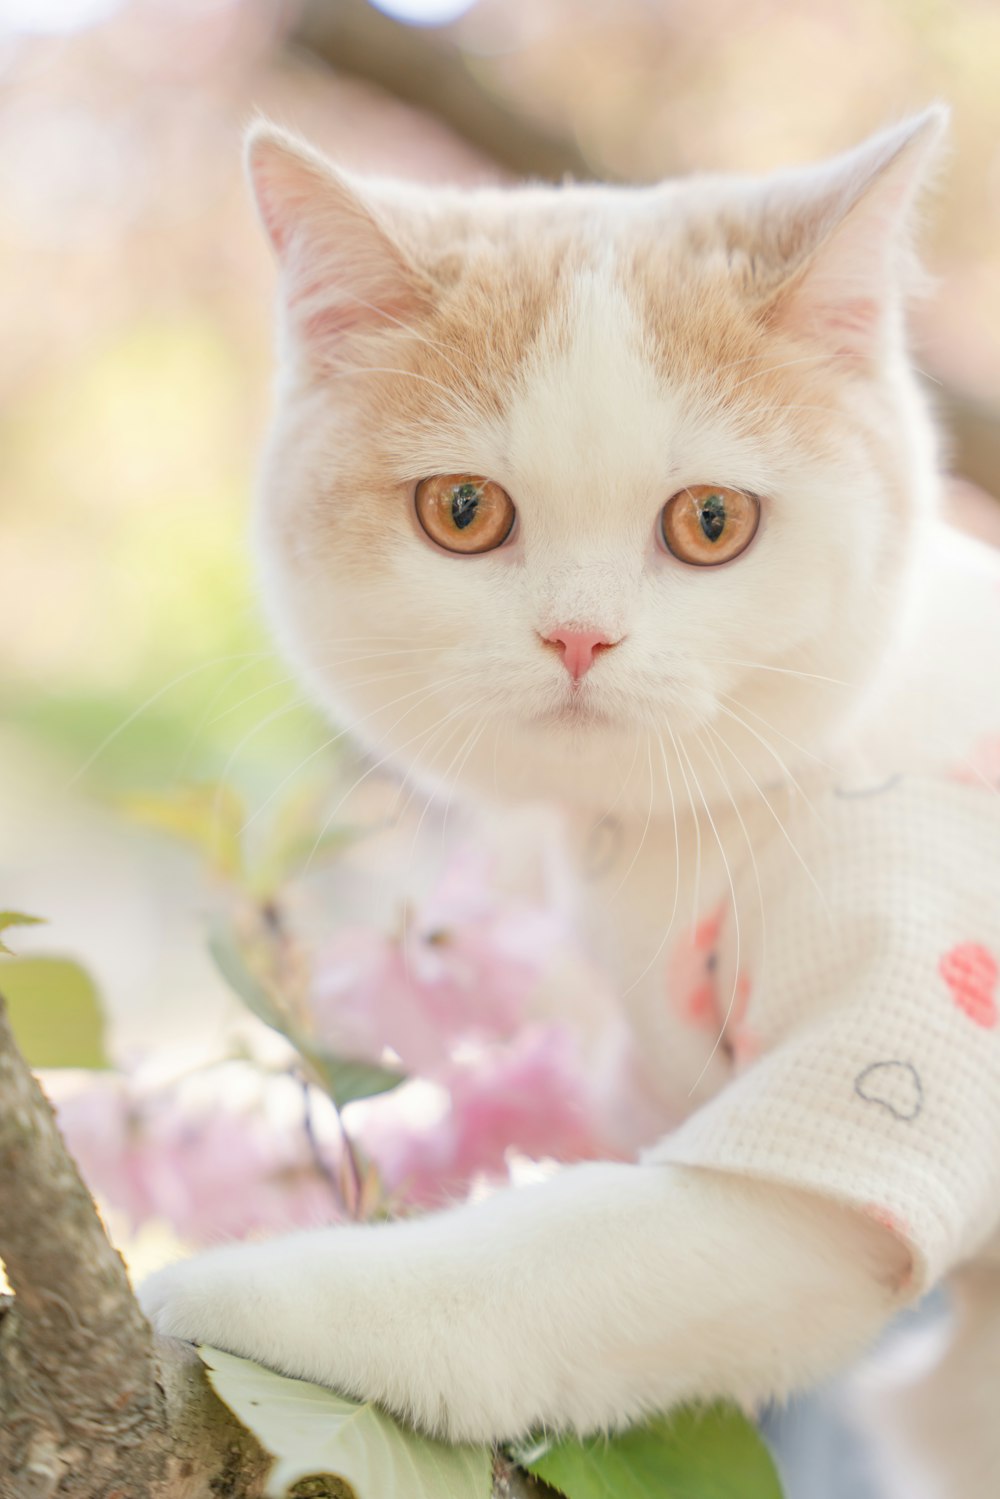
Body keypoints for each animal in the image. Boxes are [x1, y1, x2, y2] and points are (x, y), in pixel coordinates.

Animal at [138, 108, 1000, 1499]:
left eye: (711, 521)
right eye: (462, 510)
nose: (580, 636)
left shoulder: (908, 1001)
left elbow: (546, 1263)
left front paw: (233, 1284)